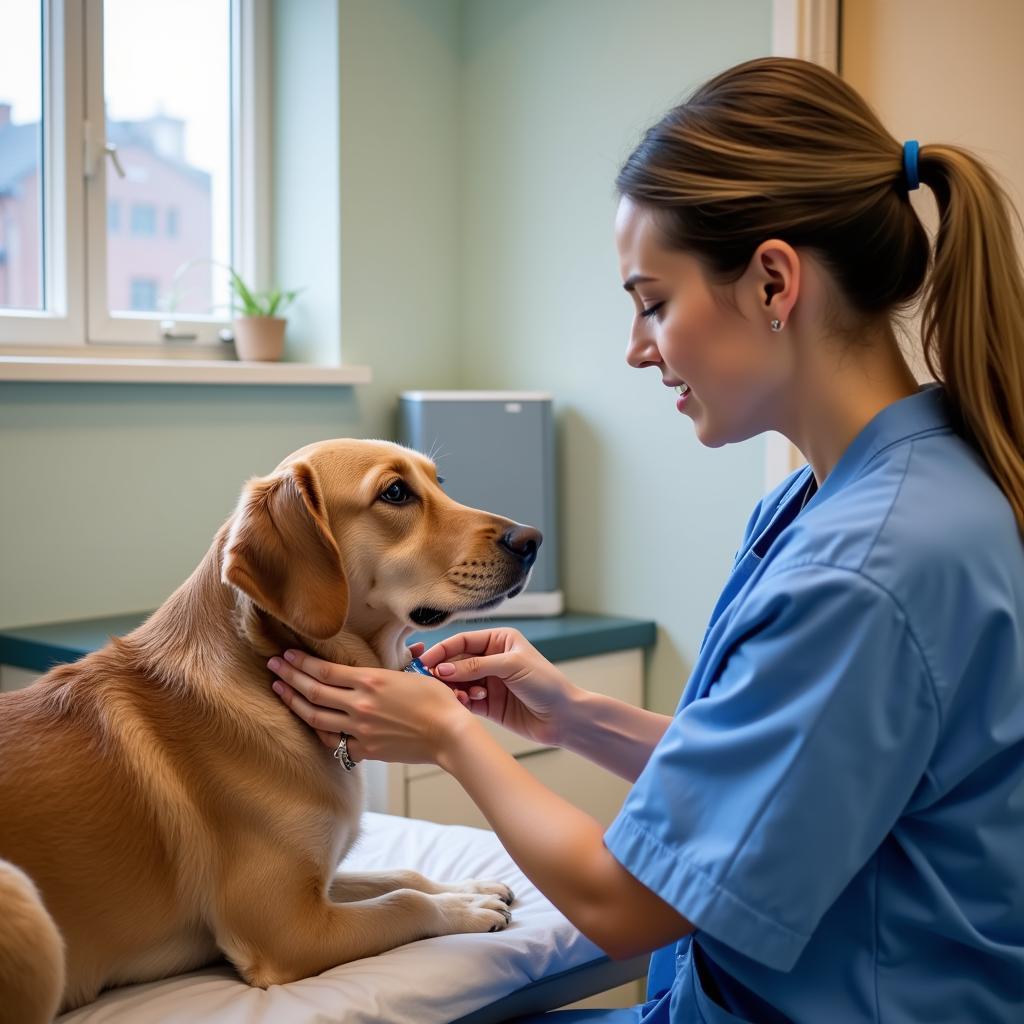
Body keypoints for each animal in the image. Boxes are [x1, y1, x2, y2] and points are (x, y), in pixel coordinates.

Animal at [0, 436, 544, 1019]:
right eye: (396, 493)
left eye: (438, 483)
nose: (532, 539)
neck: (260, 670)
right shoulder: (289, 930)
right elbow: (404, 901)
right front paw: (462, 910)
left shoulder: (317, 886)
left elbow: (401, 874)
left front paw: (466, 888)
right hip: (23, 898)